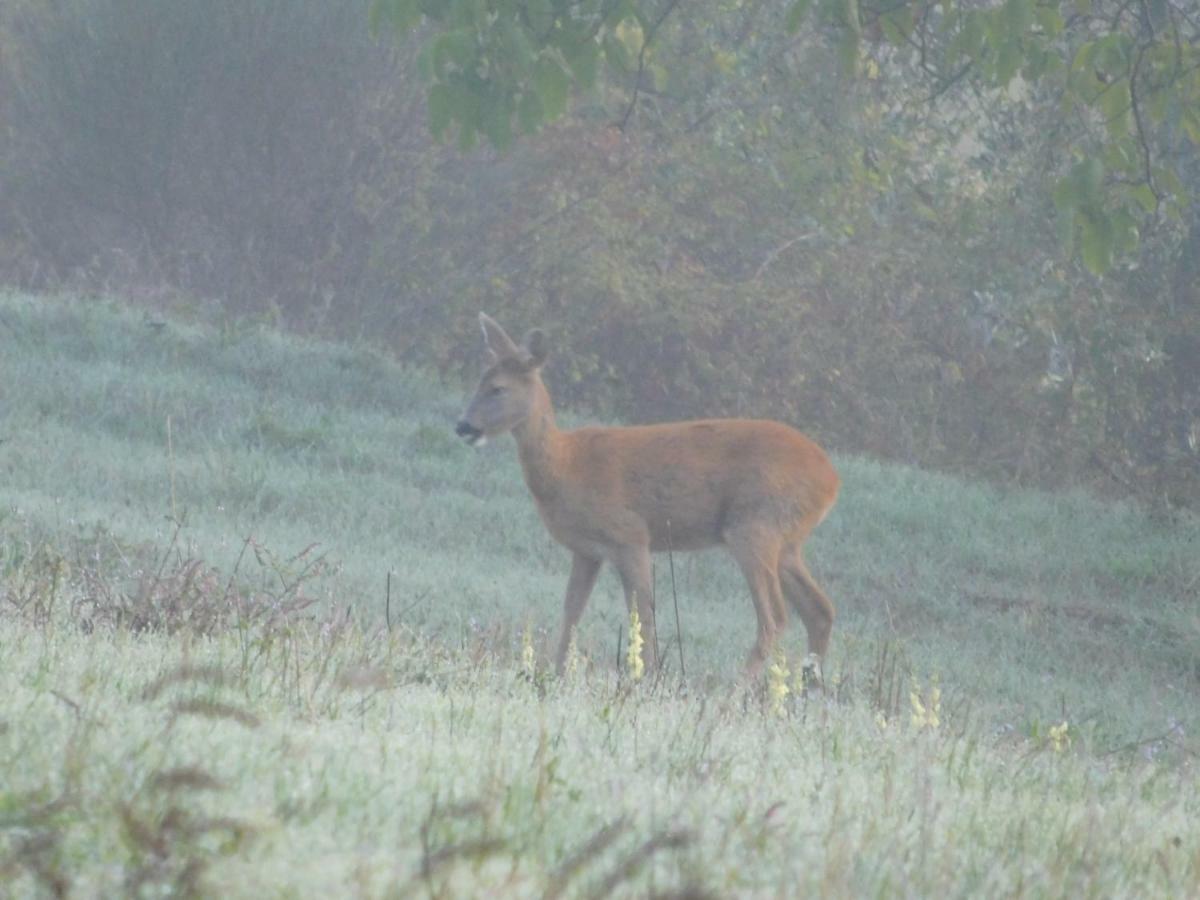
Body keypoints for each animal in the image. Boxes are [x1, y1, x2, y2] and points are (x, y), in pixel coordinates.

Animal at [453, 316, 840, 681]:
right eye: (479, 382)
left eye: (498, 389)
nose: (463, 426)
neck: (567, 466)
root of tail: (832, 480)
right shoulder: (588, 550)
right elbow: (572, 611)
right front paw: (555, 672)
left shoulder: (631, 535)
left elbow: (643, 612)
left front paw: (647, 676)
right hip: (787, 542)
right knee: (820, 610)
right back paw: (808, 685)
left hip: (754, 525)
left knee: (775, 616)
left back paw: (738, 687)